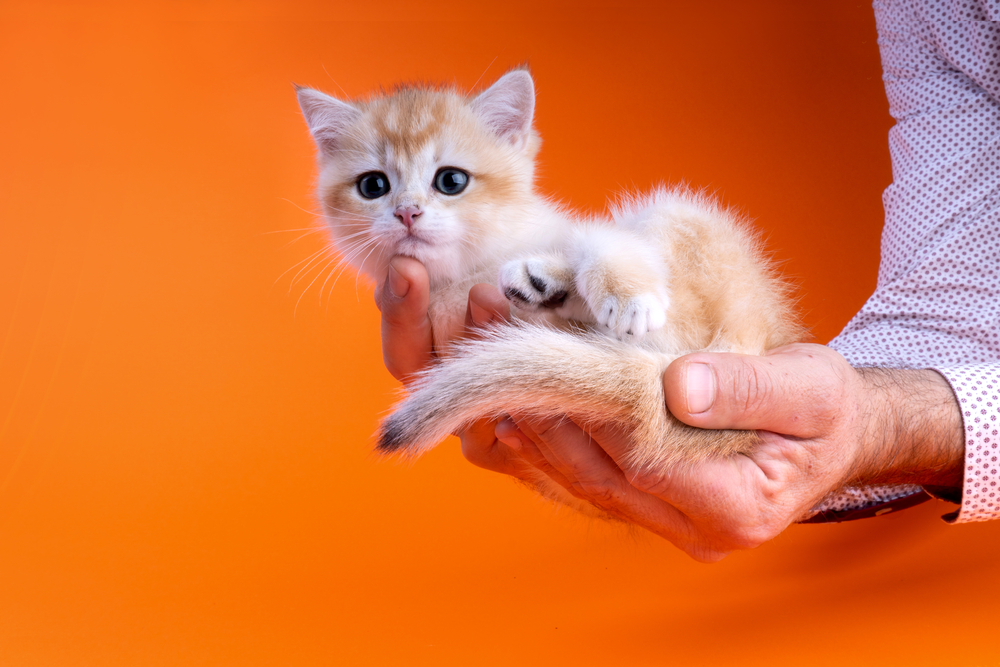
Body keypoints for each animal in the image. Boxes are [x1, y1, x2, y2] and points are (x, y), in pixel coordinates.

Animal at [296, 69, 804, 506]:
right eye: (373, 186)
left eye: (451, 180)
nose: (407, 212)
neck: (474, 268)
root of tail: (754, 337)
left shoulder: (587, 232)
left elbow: (600, 242)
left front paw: (627, 295)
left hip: (683, 221)